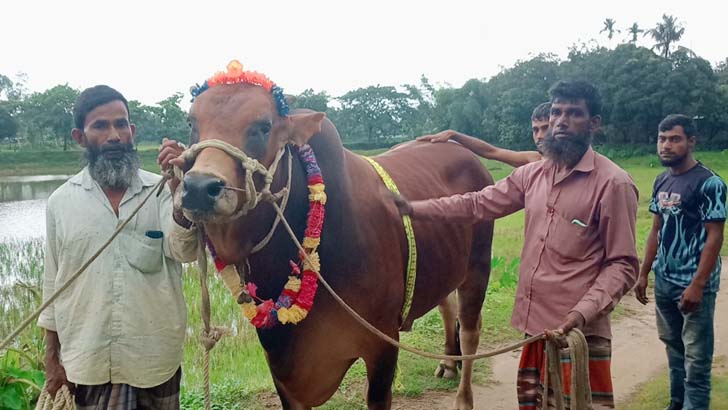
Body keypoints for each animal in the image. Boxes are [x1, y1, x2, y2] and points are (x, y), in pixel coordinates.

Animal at [176, 81, 494, 410]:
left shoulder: (383, 344)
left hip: (478, 265)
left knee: (471, 330)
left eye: (264, 126)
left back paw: (464, 398)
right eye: (191, 122)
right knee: (447, 305)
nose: (199, 187)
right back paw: (448, 363)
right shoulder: (282, 369)